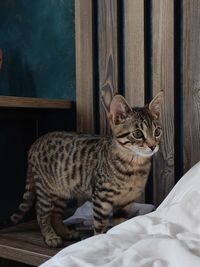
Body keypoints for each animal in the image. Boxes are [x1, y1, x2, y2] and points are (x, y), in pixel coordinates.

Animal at [9, 89, 162, 248]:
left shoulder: (126, 202)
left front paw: (118, 239)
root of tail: (35, 143)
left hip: (61, 190)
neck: (134, 166)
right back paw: (50, 236)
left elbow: (121, 225)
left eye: (157, 132)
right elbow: (100, 226)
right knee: (42, 213)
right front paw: (99, 241)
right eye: (138, 134)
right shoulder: (101, 197)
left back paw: (65, 232)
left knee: (55, 214)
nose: (153, 146)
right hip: (46, 190)